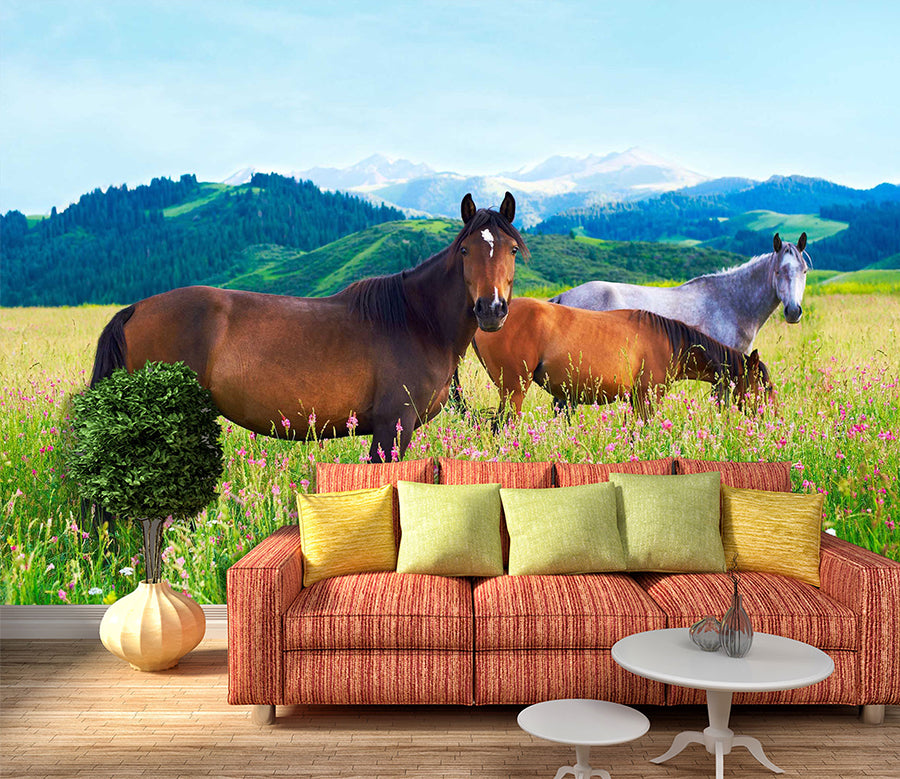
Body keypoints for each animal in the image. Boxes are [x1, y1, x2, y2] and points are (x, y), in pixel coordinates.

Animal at [90, 192, 527, 463]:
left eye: (512, 250)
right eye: (465, 250)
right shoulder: (392, 426)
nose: (491, 310)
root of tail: (134, 310)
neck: (417, 321)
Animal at [472, 297, 773, 420]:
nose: (771, 419)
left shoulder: (636, 400)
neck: (671, 343)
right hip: (514, 391)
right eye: (766, 387)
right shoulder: (647, 396)